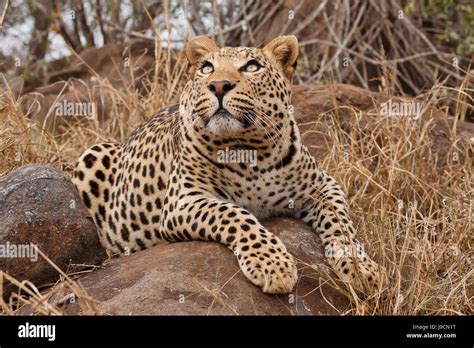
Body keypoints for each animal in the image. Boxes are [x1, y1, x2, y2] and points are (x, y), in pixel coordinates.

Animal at [73, 36, 386, 294]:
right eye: (207, 68)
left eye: (251, 66)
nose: (219, 85)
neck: (251, 151)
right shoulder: (183, 200)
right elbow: (235, 215)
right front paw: (273, 265)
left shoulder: (323, 185)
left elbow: (341, 223)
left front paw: (361, 268)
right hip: (93, 152)